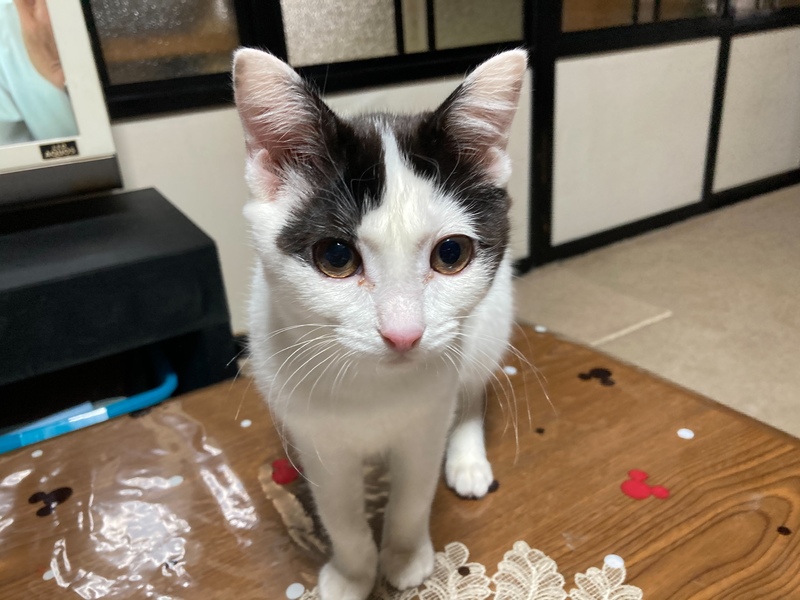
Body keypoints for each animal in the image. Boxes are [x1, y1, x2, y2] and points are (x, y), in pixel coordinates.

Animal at [233, 48, 526, 600]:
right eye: (336, 257)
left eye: (451, 254)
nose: (403, 333)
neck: (371, 387)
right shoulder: (320, 441)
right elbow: (339, 512)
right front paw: (352, 572)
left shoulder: (426, 422)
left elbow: (413, 493)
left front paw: (406, 556)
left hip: (489, 322)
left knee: (472, 387)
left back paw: (467, 456)